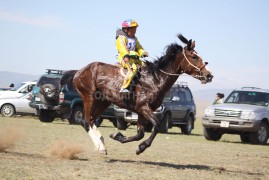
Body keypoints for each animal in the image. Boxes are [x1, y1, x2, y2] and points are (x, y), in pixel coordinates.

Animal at [60, 33, 211, 155]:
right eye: (194, 57)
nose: (209, 75)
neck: (155, 79)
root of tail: (79, 71)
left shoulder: (141, 112)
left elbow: (140, 133)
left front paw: (118, 136)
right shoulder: (144, 108)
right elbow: (156, 126)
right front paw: (141, 147)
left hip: (103, 102)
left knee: (91, 121)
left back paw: (101, 144)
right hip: (89, 98)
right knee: (86, 121)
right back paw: (101, 147)